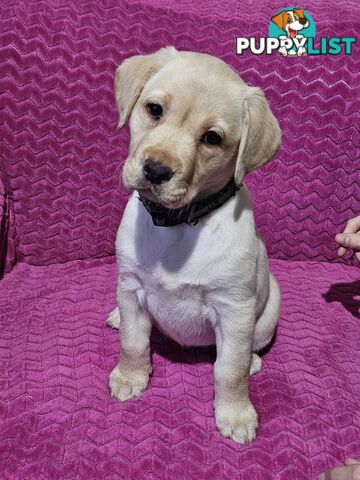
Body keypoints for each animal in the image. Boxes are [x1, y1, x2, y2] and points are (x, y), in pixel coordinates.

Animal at [107, 47, 282, 444]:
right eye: (154, 109)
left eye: (212, 138)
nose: (156, 170)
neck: (177, 223)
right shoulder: (130, 286)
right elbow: (132, 341)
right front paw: (130, 376)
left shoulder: (234, 310)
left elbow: (229, 369)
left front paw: (235, 414)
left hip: (267, 313)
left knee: (247, 350)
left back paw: (254, 361)